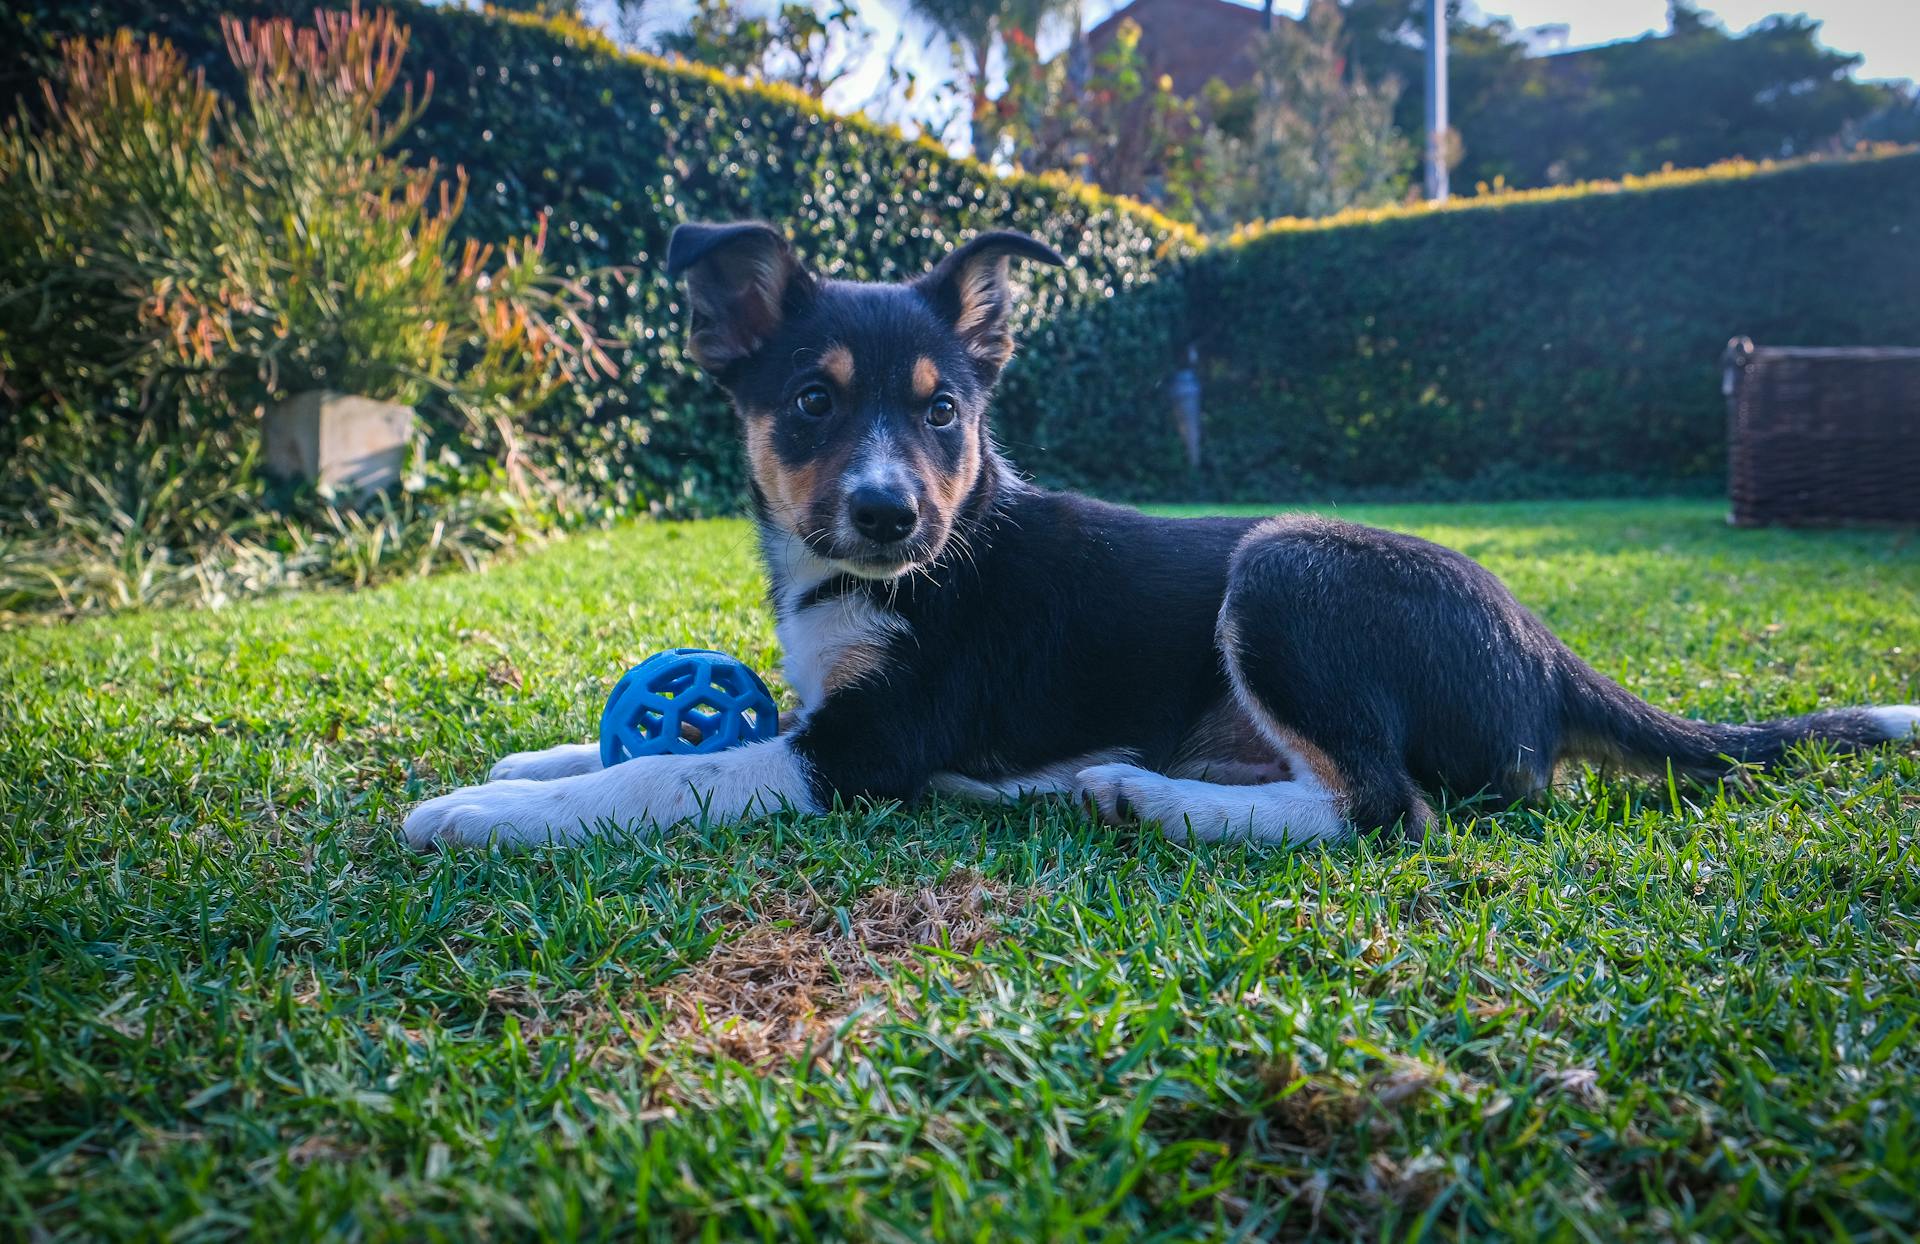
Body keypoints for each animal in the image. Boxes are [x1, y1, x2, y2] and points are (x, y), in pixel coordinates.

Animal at [401, 220, 1904, 844]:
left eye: (946, 415)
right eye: (811, 402)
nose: (889, 514)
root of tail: (1547, 650)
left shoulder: (865, 749)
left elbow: (670, 774)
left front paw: (478, 811)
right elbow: (660, 740)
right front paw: (527, 757)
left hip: (1287, 571)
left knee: (1384, 808)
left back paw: (1141, 798)